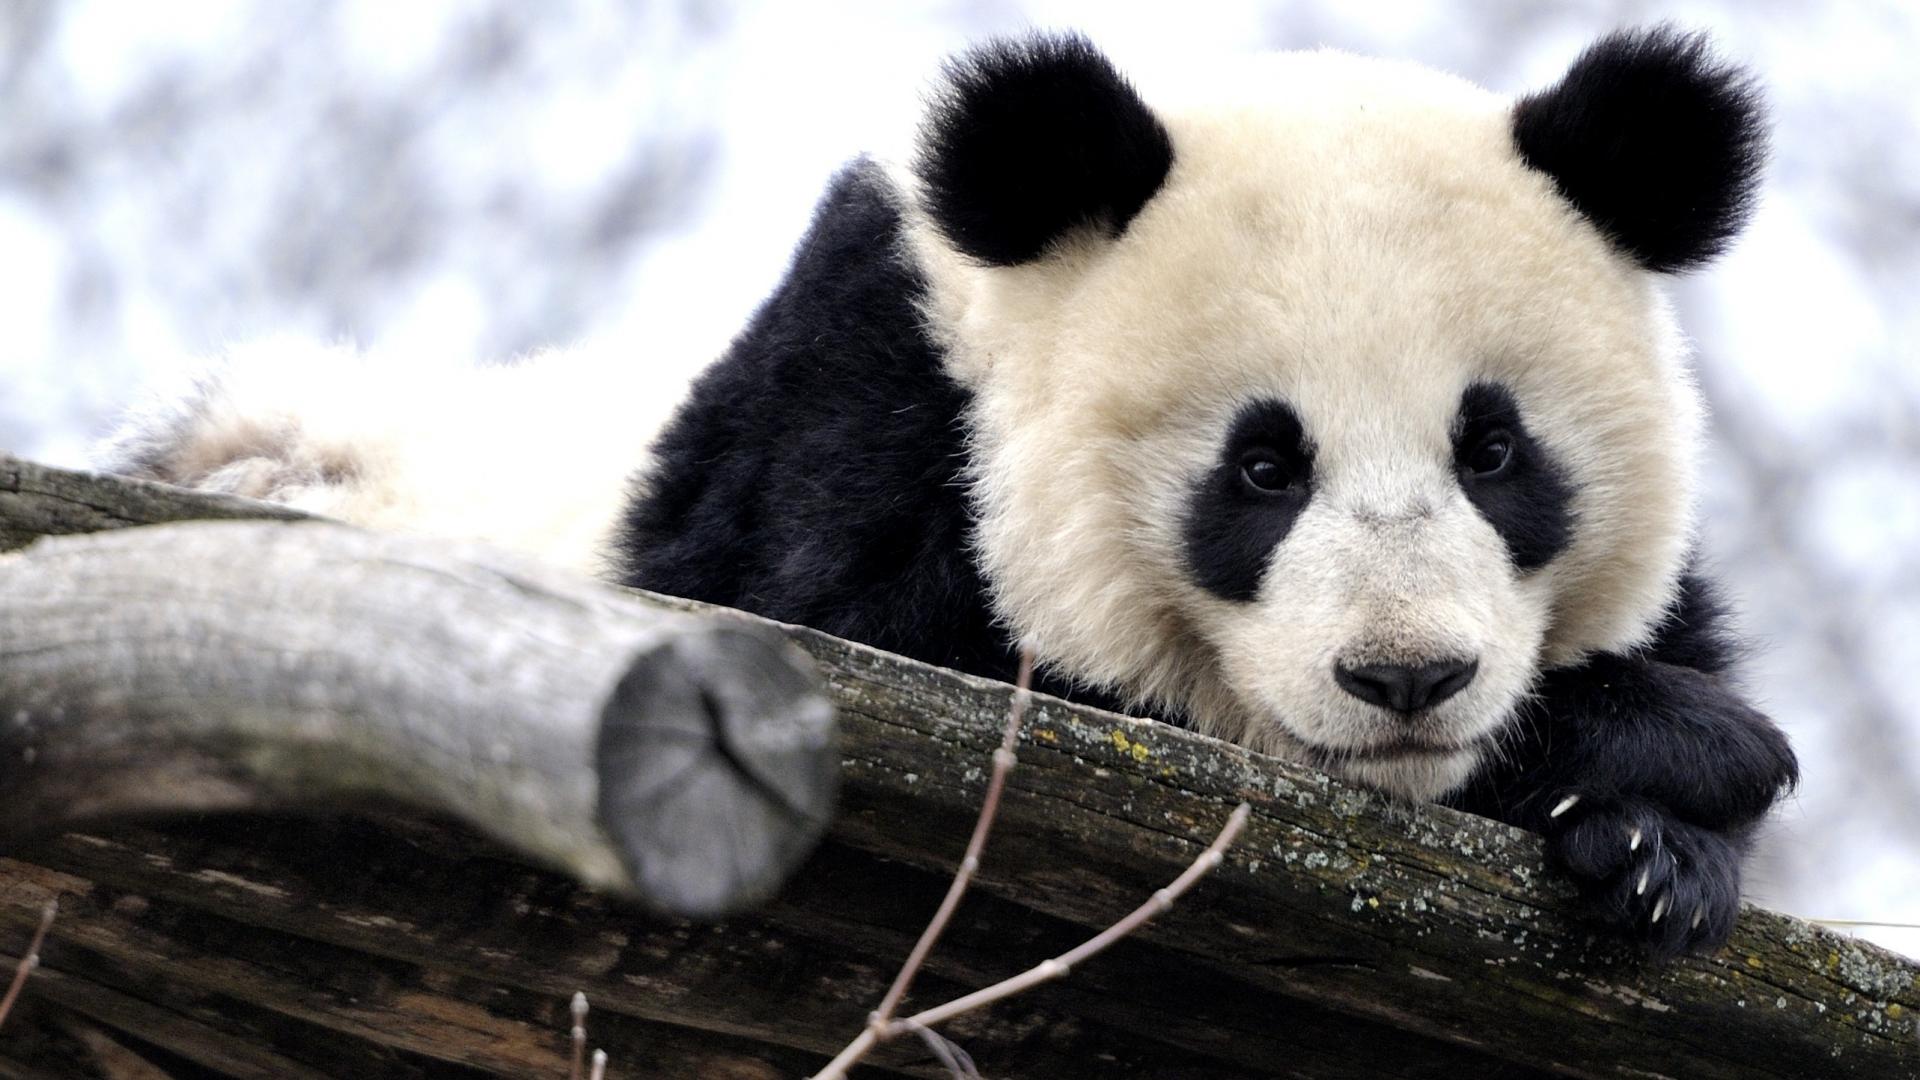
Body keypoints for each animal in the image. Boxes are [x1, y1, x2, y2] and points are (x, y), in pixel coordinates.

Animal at [102, 26, 1797, 957]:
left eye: (1492, 451)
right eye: (1262, 467)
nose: (1407, 678)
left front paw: (1657, 850)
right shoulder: (854, 431)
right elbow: (912, 646)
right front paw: (1673, 751)